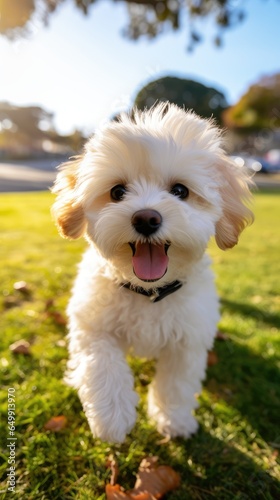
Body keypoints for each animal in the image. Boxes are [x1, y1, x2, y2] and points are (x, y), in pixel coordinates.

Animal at [50, 101, 254, 442]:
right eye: (117, 192)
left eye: (180, 190)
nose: (146, 218)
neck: (148, 292)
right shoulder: (92, 323)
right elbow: (101, 362)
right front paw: (112, 416)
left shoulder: (187, 341)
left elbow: (176, 383)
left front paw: (174, 420)